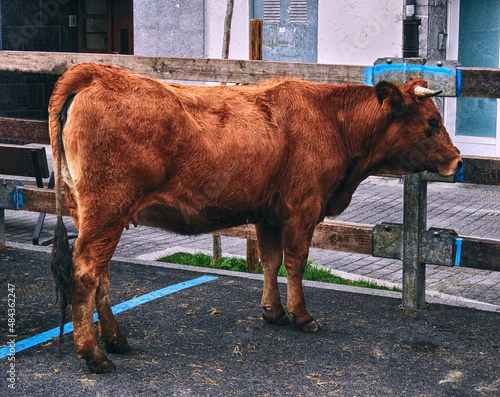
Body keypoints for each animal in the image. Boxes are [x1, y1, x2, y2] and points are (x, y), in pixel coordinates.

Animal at [48, 63, 462, 372]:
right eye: (432, 122)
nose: (458, 160)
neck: (332, 120)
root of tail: (95, 72)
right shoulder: (302, 209)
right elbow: (295, 263)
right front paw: (301, 315)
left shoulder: (269, 213)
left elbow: (270, 260)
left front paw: (273, 311)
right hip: (107, 209)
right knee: (85, 273)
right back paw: (95, 355)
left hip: (94, 213)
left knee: (101, 275)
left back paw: (115, 340)